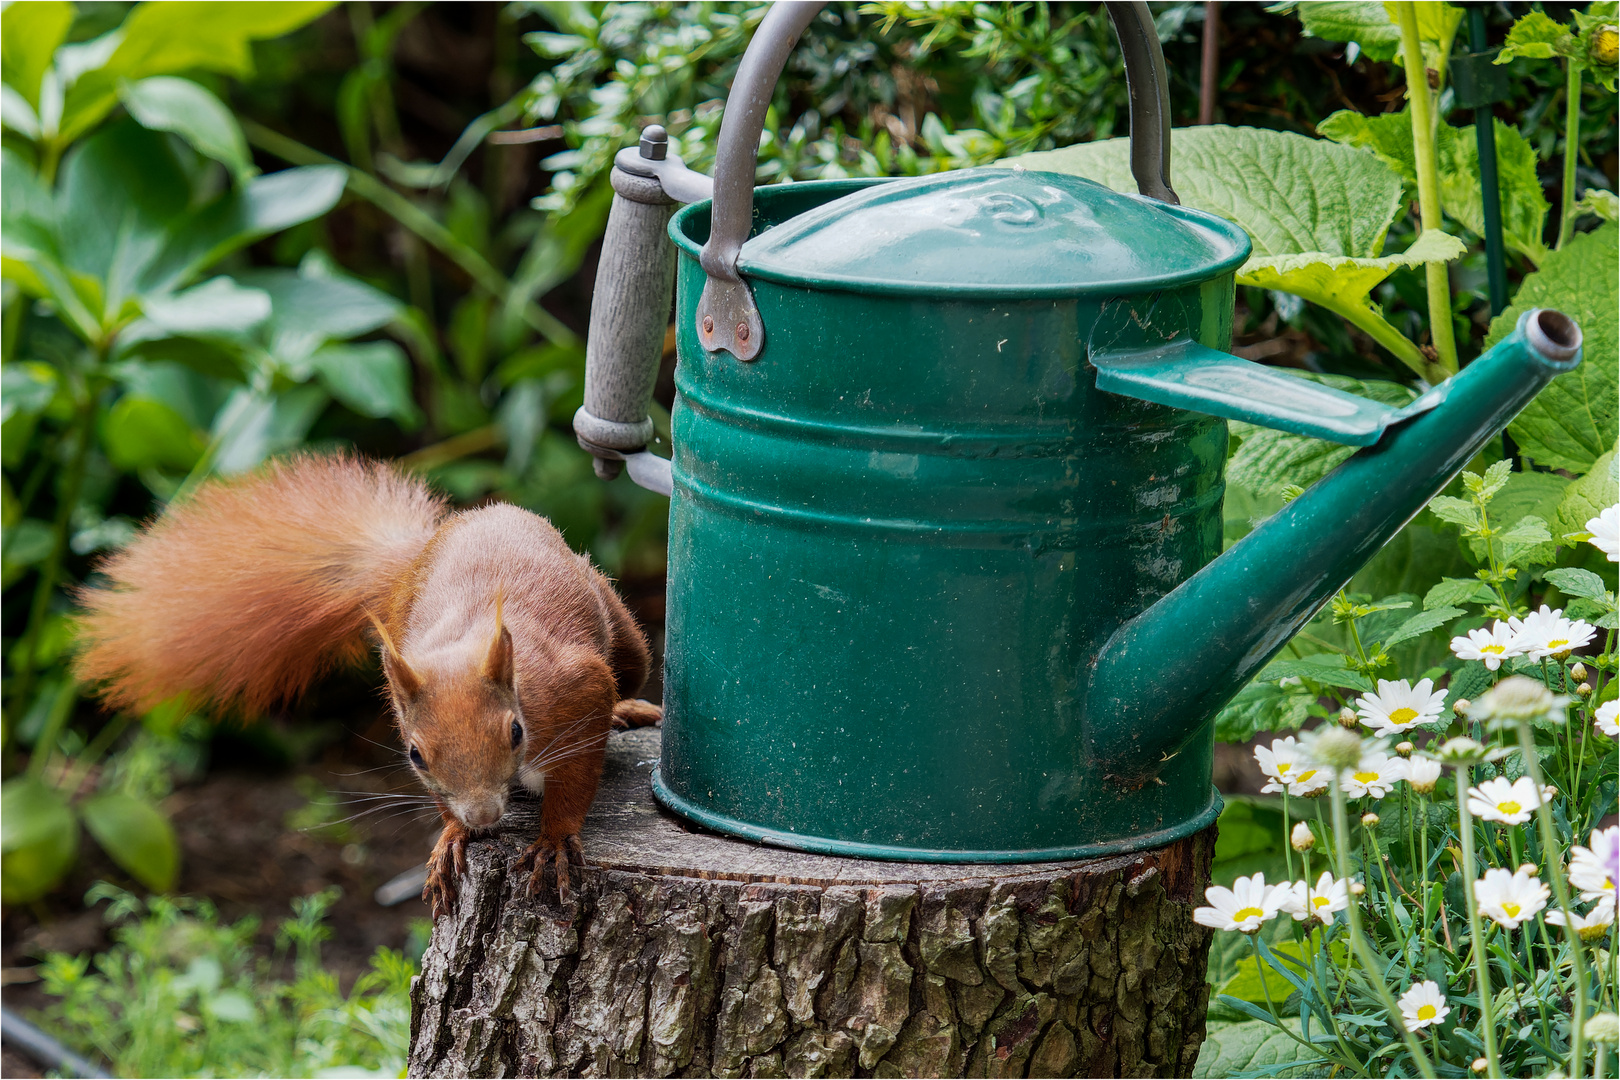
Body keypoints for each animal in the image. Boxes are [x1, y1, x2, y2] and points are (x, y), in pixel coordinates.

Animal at [74, 453, 657, 919]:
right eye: (415, 755)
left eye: (515, 732)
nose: (484, 816)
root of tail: (421, 549)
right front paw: (452, 836)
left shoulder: (575, 689)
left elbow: (577, 774)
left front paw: (554, 839)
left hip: (621, 634)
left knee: (629, 669)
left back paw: (628, 709)